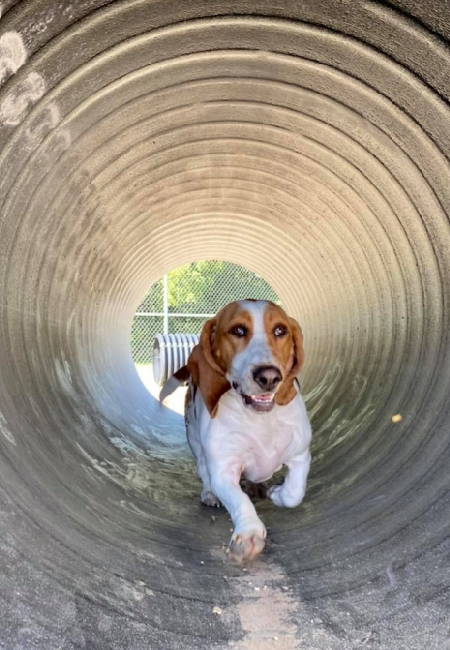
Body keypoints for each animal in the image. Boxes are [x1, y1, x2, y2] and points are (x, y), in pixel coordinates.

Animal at [160, 298, 312, 556]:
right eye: (238, 330)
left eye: (280, 330)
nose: (269, 376)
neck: (260, 420)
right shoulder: (223, 471)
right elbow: (239, 499)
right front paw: (250, 532)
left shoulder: (301, 454)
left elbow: (294, 493)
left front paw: (276, 493)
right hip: (195, 441)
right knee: (204, 471)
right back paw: (210, 494)